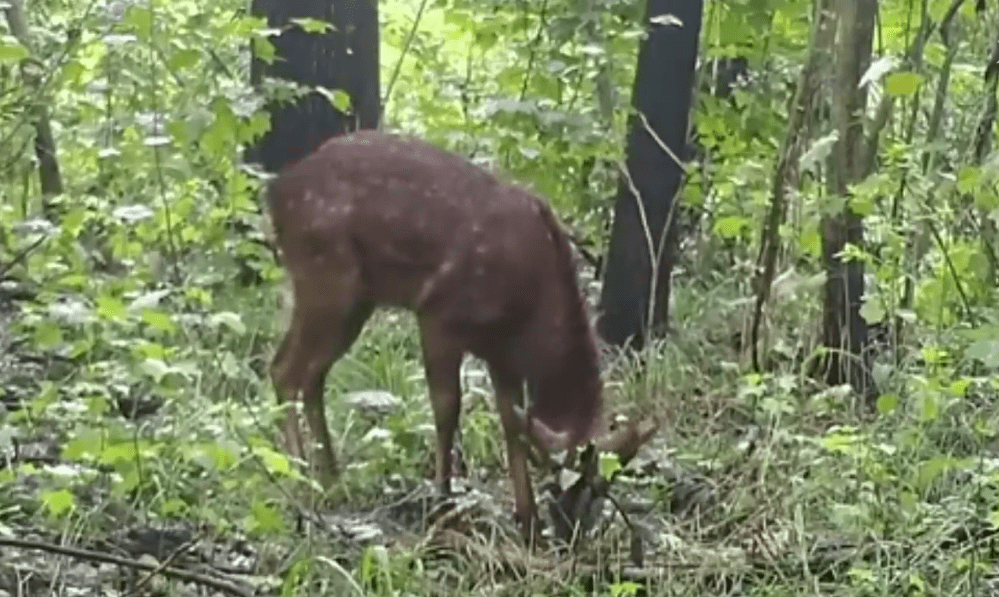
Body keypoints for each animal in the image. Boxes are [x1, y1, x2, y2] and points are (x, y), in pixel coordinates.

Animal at [262, 130, 660, 540]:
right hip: (326, 280)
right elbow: (447, 408)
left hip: (354, 302)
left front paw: (527, 520)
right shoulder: (439, 316)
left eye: (605, 487)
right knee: (284, 370)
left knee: (310, 375)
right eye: (565, 480)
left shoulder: (502, 357)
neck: (528, 313)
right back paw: (298, 482)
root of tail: (276, 193)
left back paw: (331, 481)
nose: (571, 533)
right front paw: (443, 500)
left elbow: (511, 425)